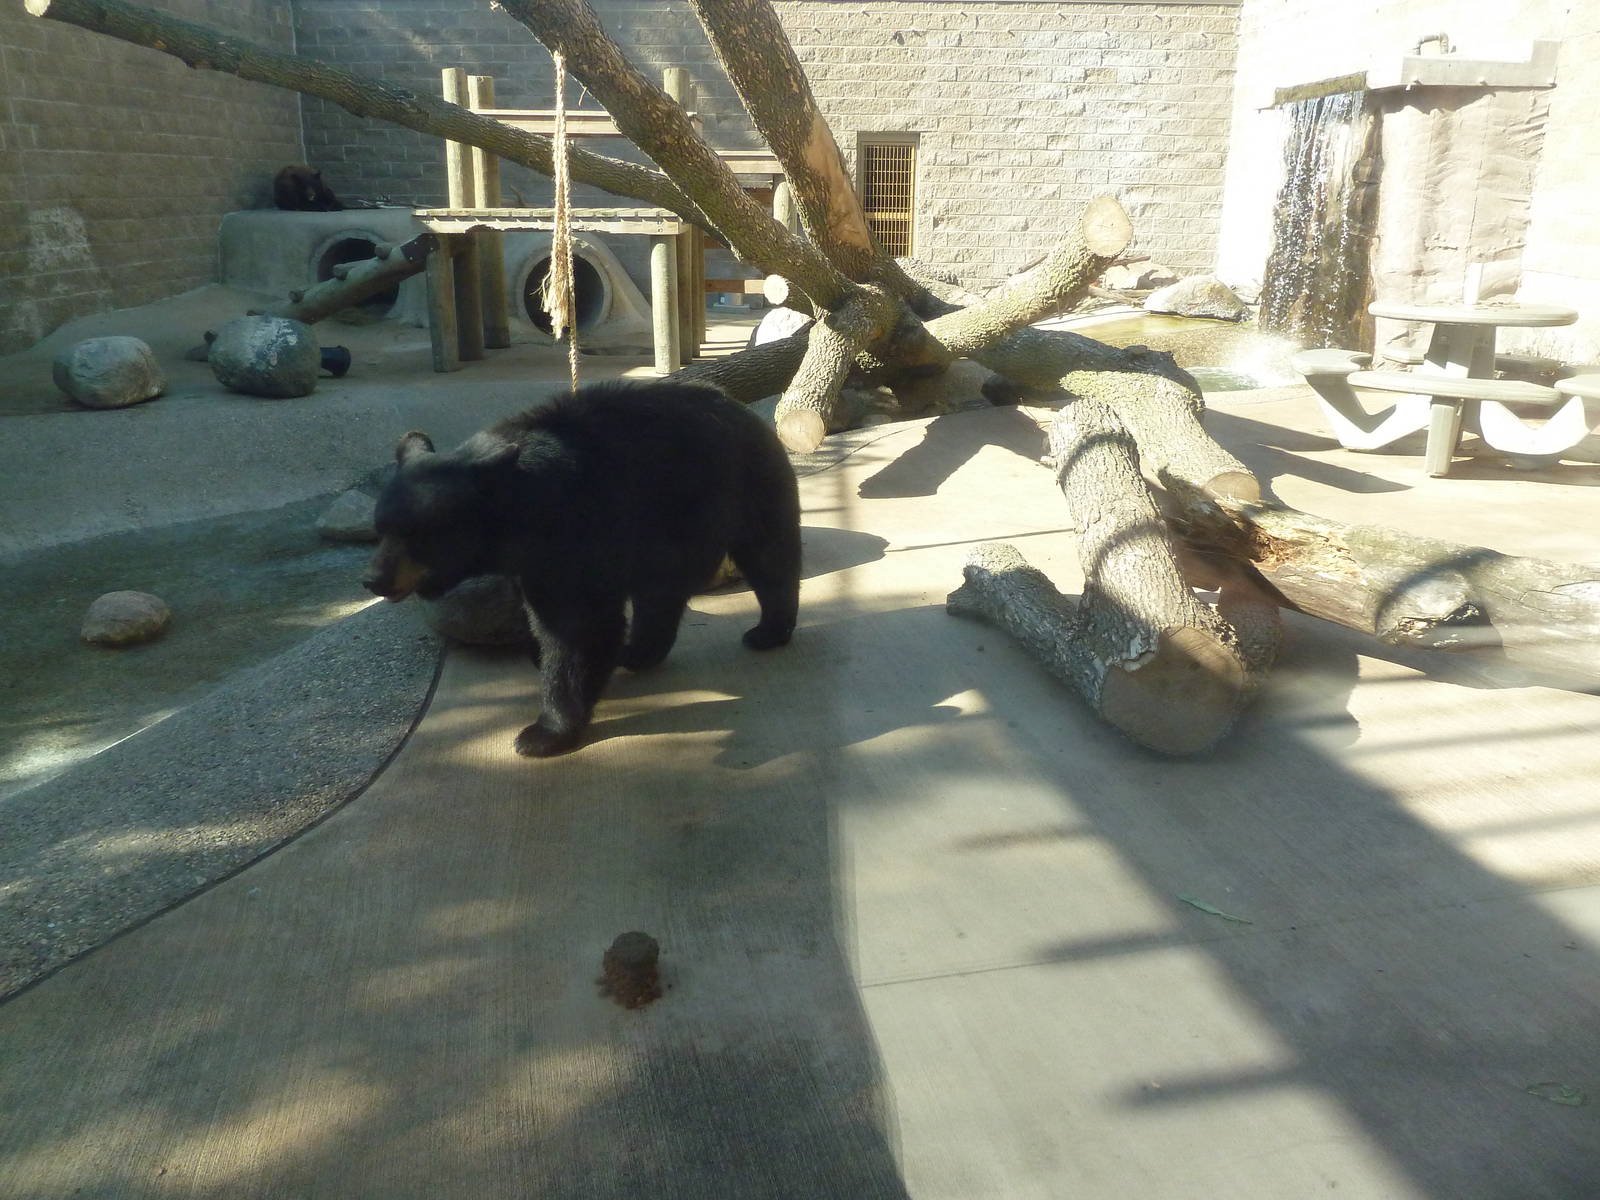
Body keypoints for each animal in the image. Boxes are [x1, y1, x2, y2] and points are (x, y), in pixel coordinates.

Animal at [362, 380, 802, 758]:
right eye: (380, 529)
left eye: (418, 536)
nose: (374, 579)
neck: (521, 510)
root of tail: (744, 409)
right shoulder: (535, 559)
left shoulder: (576, 531)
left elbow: (577, 626)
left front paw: (542, 733)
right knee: (659, 595)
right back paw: (638, 652)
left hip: (746, 486)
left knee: (769, 557)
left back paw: (767, 631)